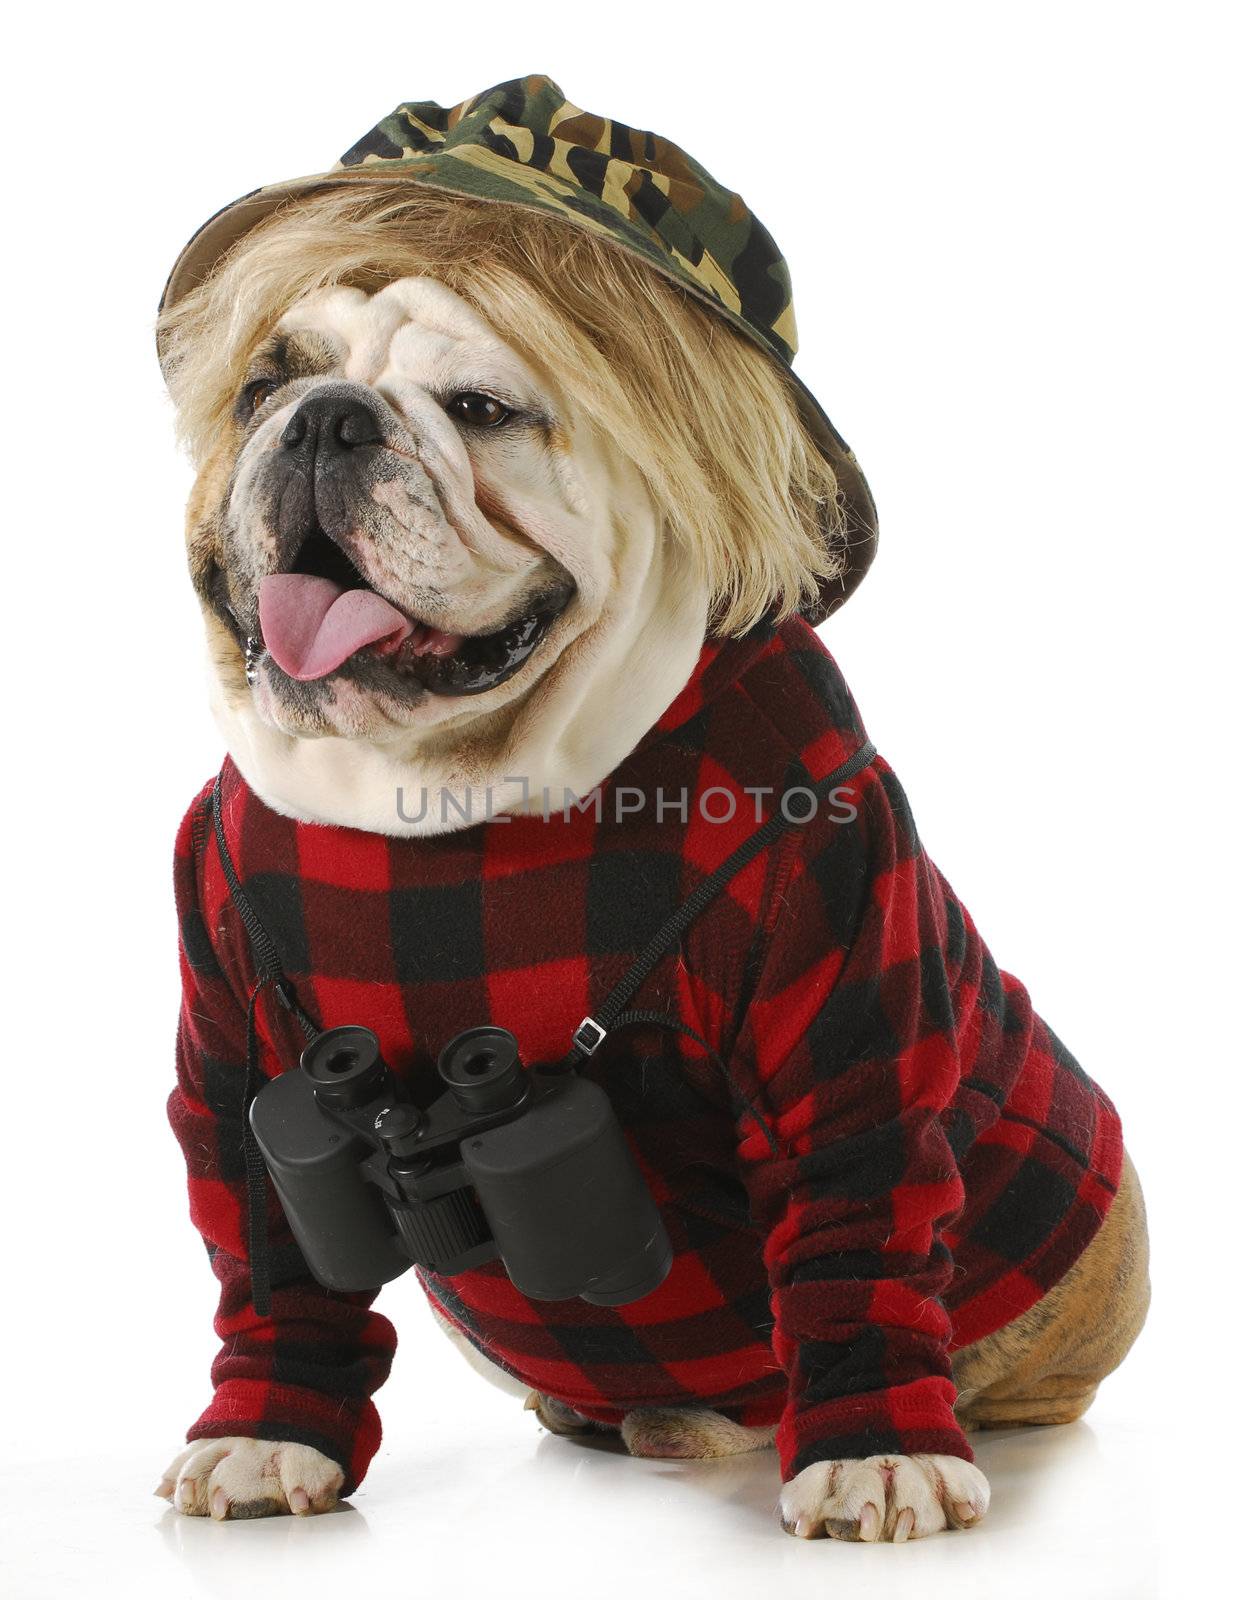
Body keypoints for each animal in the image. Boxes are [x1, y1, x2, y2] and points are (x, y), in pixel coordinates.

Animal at [152, 78, 1145, 1536]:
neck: (442, 789)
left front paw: (876, 1450)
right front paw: (264, 1431)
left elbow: (860, 1212)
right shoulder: (232, 1038)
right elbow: (272, 1252)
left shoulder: (841, 985)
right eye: (267, 381)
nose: (331, 416)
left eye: (482, 406)